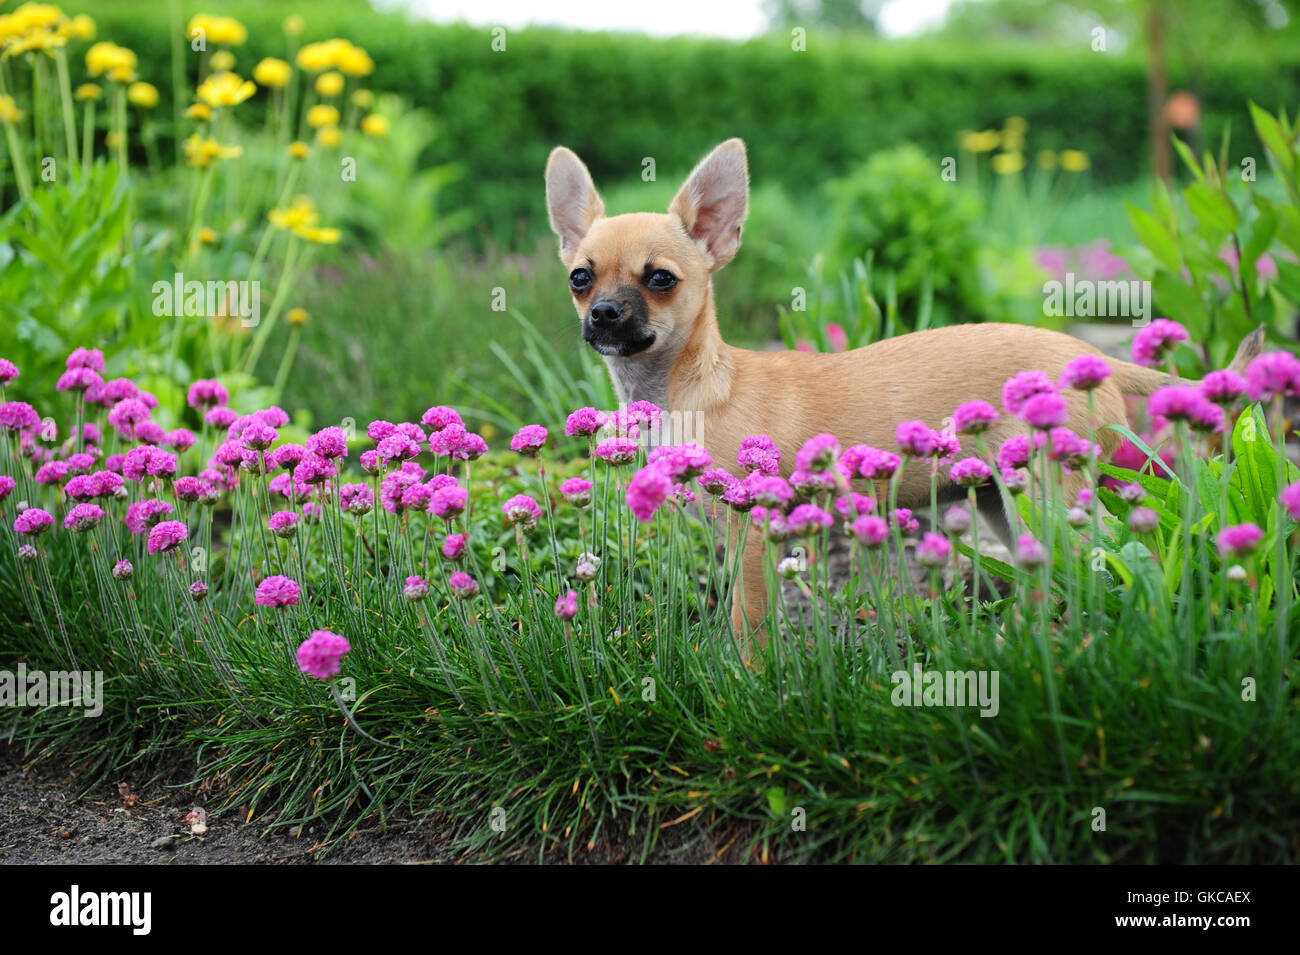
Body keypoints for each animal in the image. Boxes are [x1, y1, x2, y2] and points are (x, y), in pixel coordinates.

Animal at [543, 138, 1263, 639]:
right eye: (580, 277)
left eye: (660, 279)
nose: (603, 313)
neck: (694, 384)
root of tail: (1091, 354)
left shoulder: (751, 532)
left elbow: (749, 625)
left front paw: (746, 682)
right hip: (1005, 502)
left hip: (1048, 496)